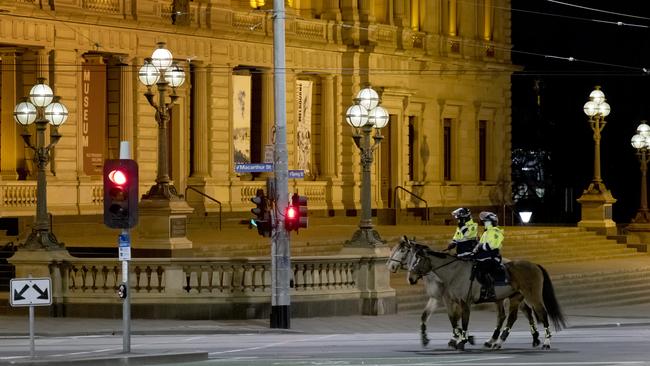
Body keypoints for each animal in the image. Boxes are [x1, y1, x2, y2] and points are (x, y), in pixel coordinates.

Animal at [388, 237, 540, 348]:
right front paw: (427, 339)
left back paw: (534, 338)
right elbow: (428, 316)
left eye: (402, 250)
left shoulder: (452, 299)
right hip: (500, 298)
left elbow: (455, 318)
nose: (390, 266)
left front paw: (461, 338)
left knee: (525, 312)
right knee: (504, 315)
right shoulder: (437, 298)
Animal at [408, 244, 564, 350]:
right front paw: (459, 339)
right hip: (514, 298)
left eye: (418, 260)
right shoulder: (453, 302)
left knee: (542, 314)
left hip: (533, 296)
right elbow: (454, 321)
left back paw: (546, 342)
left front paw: (462, 340)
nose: (411, 278)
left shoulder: (464, 302)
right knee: (510, 317)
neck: (455, 272)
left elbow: (463, 321)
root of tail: (535, 265)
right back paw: (498, 341)